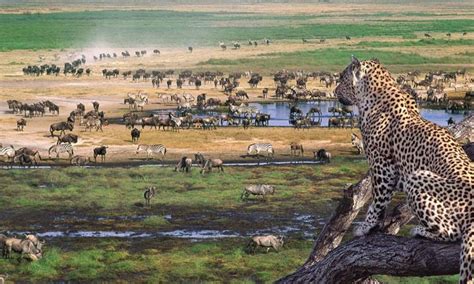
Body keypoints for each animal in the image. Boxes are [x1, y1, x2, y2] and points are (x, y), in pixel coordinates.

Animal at [336, 56, 472, 282]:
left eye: (341, 77)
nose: (335, 90)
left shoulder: (382, 167)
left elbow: (377, 201)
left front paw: (366, 227)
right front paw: (377, 226)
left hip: (417, 177)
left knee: (452, 232)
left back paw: (420, 231)